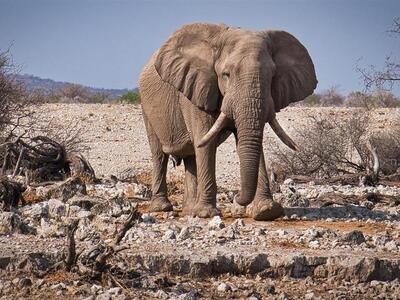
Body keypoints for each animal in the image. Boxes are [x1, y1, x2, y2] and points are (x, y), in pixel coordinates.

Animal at [139, 22, 318, 220]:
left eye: (272, 77)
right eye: (226, 74)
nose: (237, 198)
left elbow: (248, 141)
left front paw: (266, 211)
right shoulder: (196, 88)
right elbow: (205, 142)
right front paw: (207, 213)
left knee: (191, 157)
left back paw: (189, 210)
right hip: (146, 107)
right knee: (159, 154)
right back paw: (162, 208)